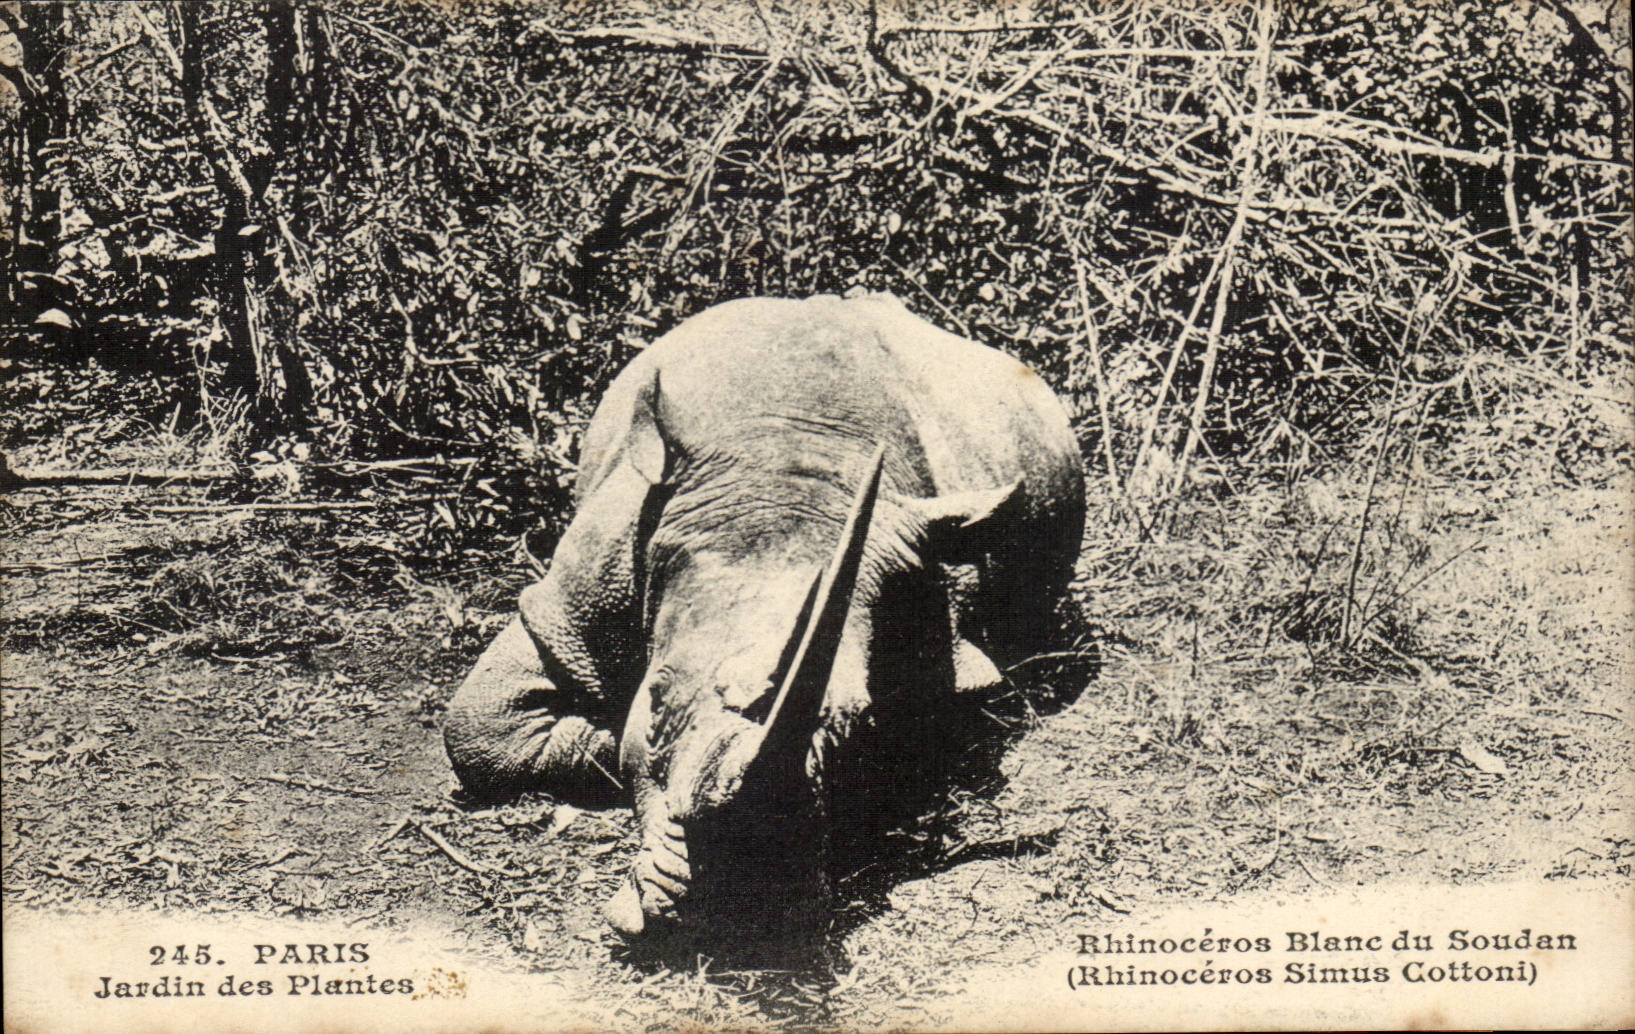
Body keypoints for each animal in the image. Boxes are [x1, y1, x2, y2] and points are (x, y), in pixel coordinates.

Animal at [444, 293, 1086, 948]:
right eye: (655, 703)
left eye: (858, 726)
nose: (739, 908)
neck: (790, 463)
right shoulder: (575, 602)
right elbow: (476, 728)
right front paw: (606, 738)